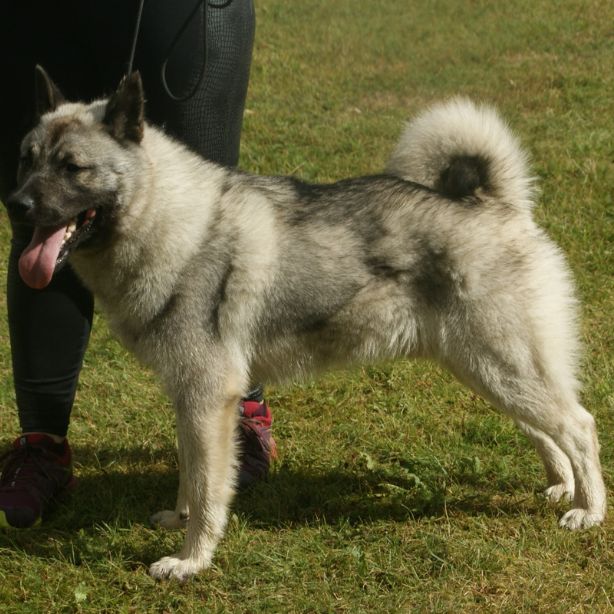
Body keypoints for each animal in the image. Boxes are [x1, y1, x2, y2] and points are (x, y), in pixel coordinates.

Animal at [7, 68, 608, 584]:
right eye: (26, 159)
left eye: (72, 167)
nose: (15, 204)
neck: (175, 222)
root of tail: (497, 204)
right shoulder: (190, 400)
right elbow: (188, 473)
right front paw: (179, 523)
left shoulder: (208, 397)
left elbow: (206, 486)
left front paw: (191, 559)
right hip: (487, 369)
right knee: (545, 428)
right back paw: (562, 487)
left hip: (500, 364)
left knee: (579, 425)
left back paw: (590, 510)